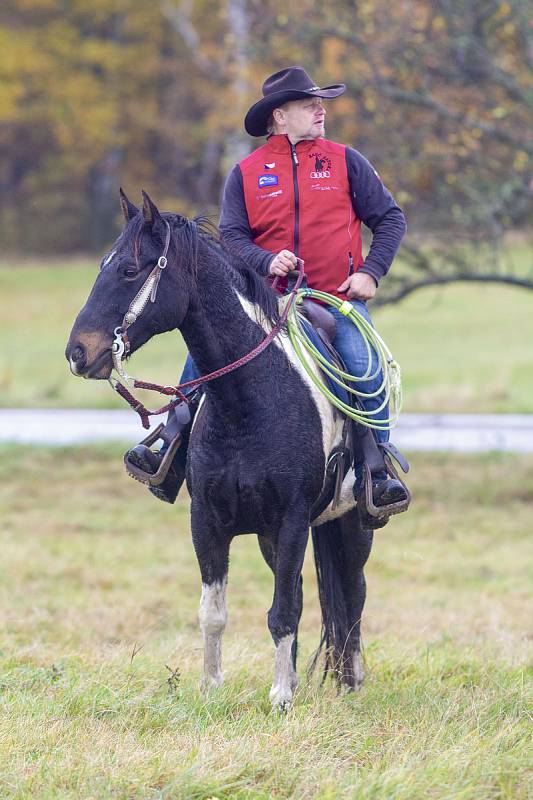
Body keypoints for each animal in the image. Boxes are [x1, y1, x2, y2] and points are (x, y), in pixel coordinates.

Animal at [66, 191, 372, 708]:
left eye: (128, 270)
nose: (77, 352)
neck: (249, 402)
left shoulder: (292, 521)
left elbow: (284, 612)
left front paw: (279, 698)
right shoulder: (207, 521)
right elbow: (215, 612)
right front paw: (212, 689)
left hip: (350, 525)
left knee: (351, 597)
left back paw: (351, 684)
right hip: (273, 538)